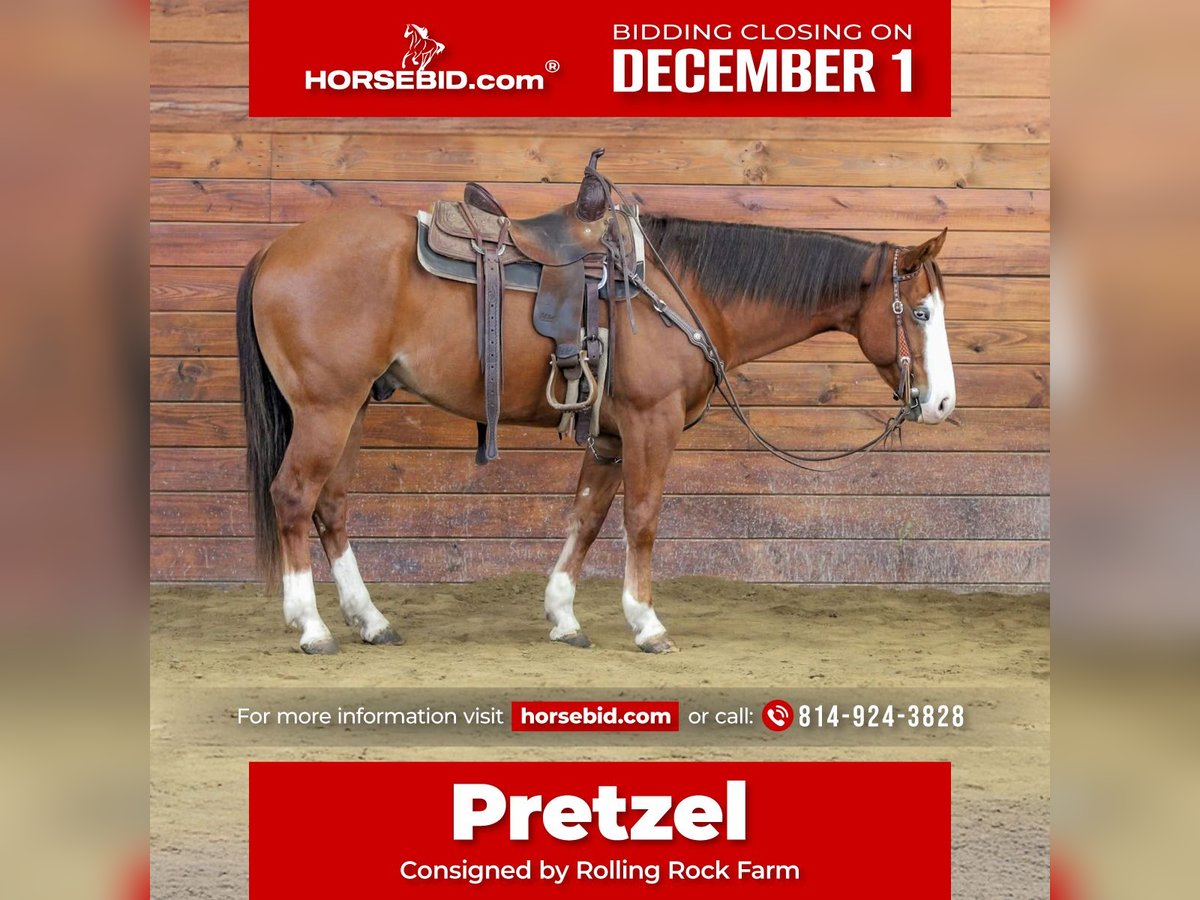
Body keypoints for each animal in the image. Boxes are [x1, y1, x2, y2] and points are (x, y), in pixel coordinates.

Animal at [235, 187, 956, 656]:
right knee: (293, 497)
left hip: (351, 408)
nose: (943, 403)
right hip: (326, 409)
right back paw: (312, 627)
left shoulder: (609, 434)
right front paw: (647, 623)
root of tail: (273, 249)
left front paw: (563, 616)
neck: (679, 287)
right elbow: (642, 517)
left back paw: (371, 620)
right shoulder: (650, 424)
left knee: (332, 506)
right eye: (920, 312)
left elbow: (586, 515)